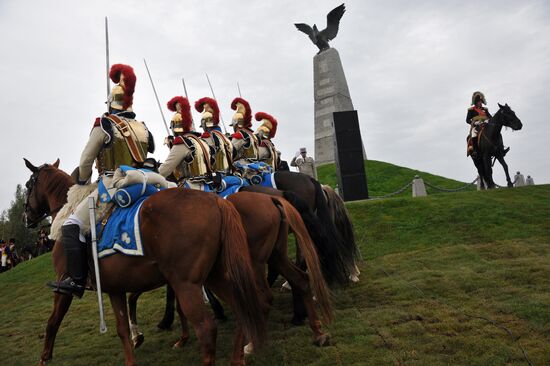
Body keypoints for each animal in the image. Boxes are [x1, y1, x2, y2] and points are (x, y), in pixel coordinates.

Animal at [22, 159, 268, 366]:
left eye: (28, 185)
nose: (26, 218)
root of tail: (216, 201)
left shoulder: (64, 286)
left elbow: (53, 321)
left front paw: (44, 357)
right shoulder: (116, 288)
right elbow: (122, 326)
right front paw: (136, 341)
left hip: (187, 284)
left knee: (207, 329)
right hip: (216, 276)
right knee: (241, 309)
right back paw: (238, 356)